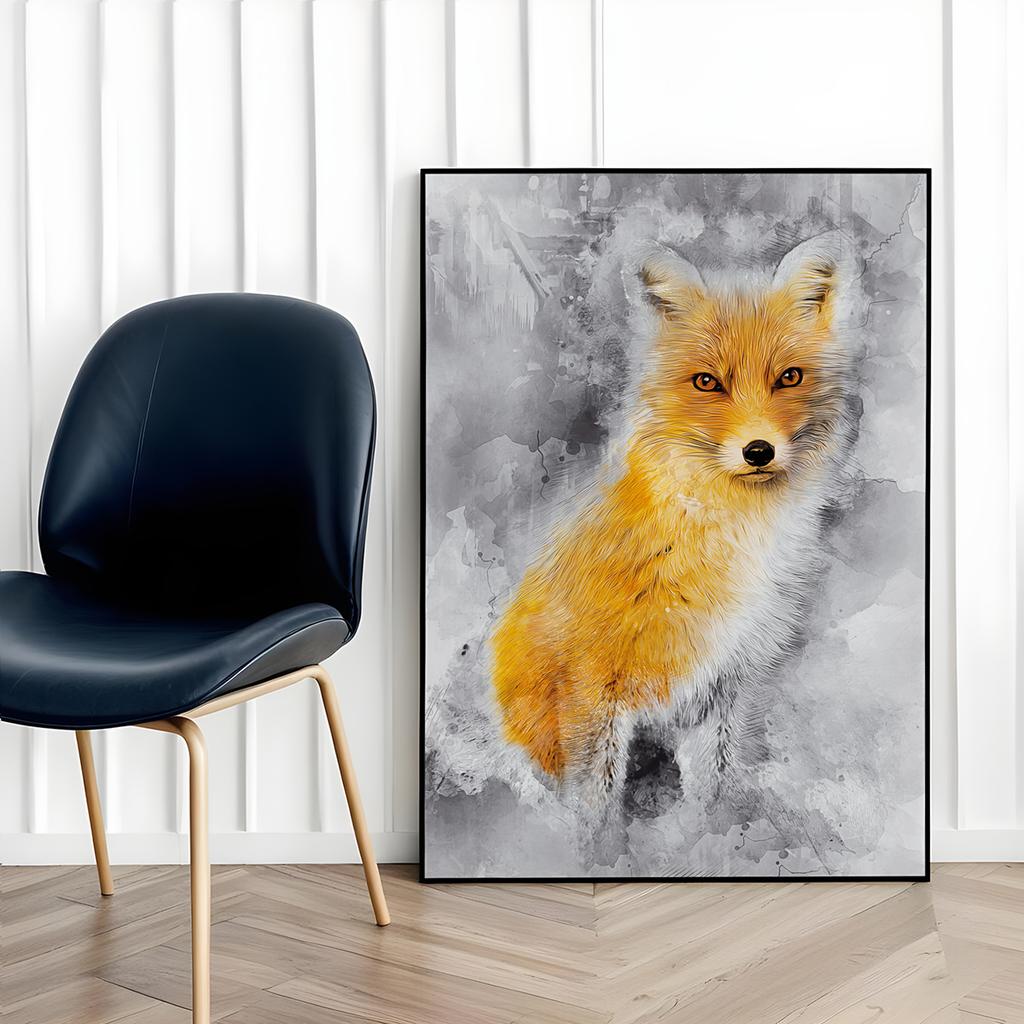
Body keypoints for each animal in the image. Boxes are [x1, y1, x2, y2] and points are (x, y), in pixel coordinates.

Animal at [490, 231, 861, 818]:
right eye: (707, 382)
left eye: (789, 377)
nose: (758, 451)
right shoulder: (591, 686)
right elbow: (594, 811)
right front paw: (592, 842)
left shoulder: (726, 685)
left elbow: (712, 797)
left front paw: (709, 838)